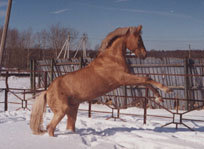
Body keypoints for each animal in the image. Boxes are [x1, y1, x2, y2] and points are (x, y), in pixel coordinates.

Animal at [29, 25, 171, 136]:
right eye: (139, 39)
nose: (144, 55)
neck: (112, 58)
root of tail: (47, 91)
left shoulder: (127, 78)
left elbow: (145, 82)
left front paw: (159, 97)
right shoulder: (124, 79)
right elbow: (147, 79)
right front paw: (167, 90)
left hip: (73, 109)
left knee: (68, 126)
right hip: (62, 110)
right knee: (50, 128)